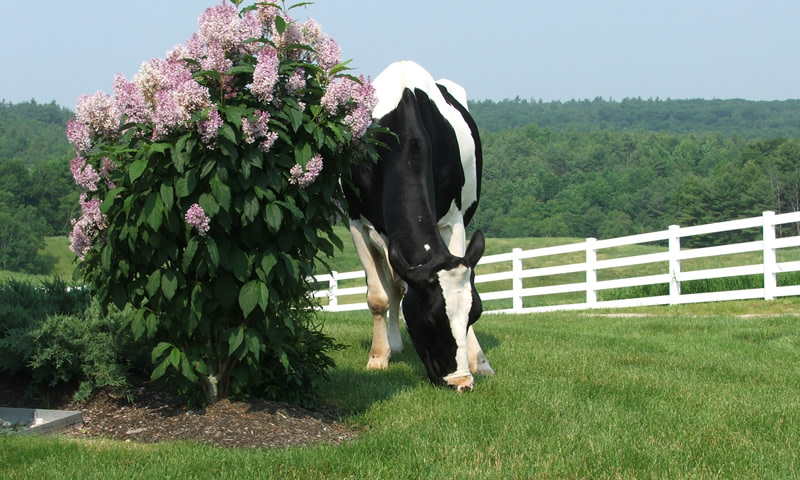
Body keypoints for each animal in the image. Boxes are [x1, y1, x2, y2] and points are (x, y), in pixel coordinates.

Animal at [344, 61, 494, 391]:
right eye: (429, 320)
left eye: (475, 314)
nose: (461, 382)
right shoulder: (356, 222)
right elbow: (378, 297)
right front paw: (378, 358)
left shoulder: (455, 219)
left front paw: (479, 360)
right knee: (394, 287)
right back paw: (393, 345)